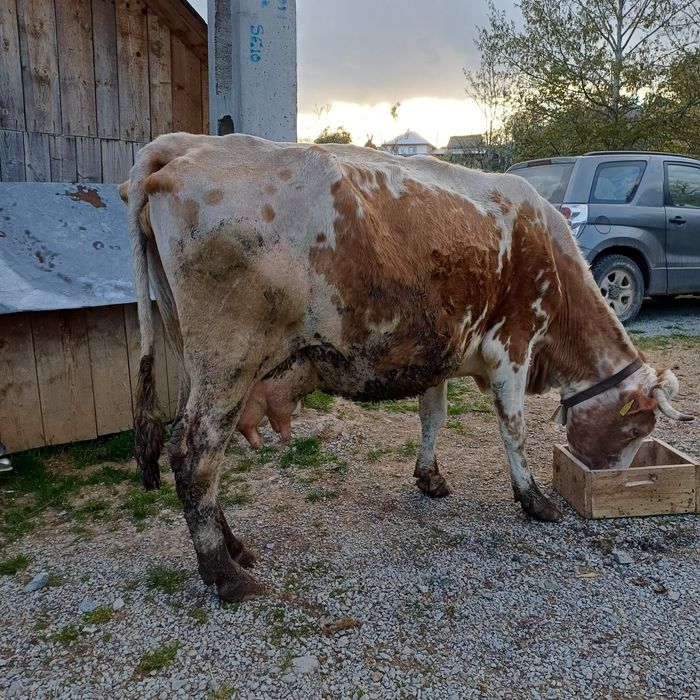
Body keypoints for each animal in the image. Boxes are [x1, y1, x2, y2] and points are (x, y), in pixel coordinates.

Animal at [122, 132, 693, 602]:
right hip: (229, 360)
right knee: (196, 453)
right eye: (637, 427)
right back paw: (224, 574)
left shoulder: (437, 353)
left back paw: (235, 547)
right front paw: (534, 501)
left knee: (191, 449)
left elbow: (433, 416)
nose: (612, 482)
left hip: (194, 357)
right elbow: (513, 430)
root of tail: (182, 145)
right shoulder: (512, 342)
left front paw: (430, 478)